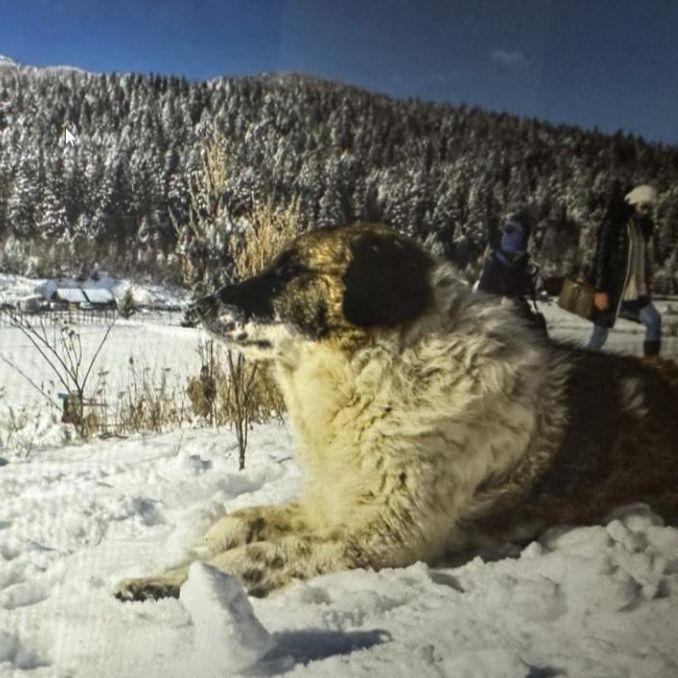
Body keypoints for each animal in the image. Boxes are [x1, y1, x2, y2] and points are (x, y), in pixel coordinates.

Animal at [114, 220, 676, 604]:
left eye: (292, 271)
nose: (199, 306)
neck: (376, 374)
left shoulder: (384, 537)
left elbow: (251, 557)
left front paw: (184, 582)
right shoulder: (334, 504)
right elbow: (237, 521)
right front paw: (165, 572)